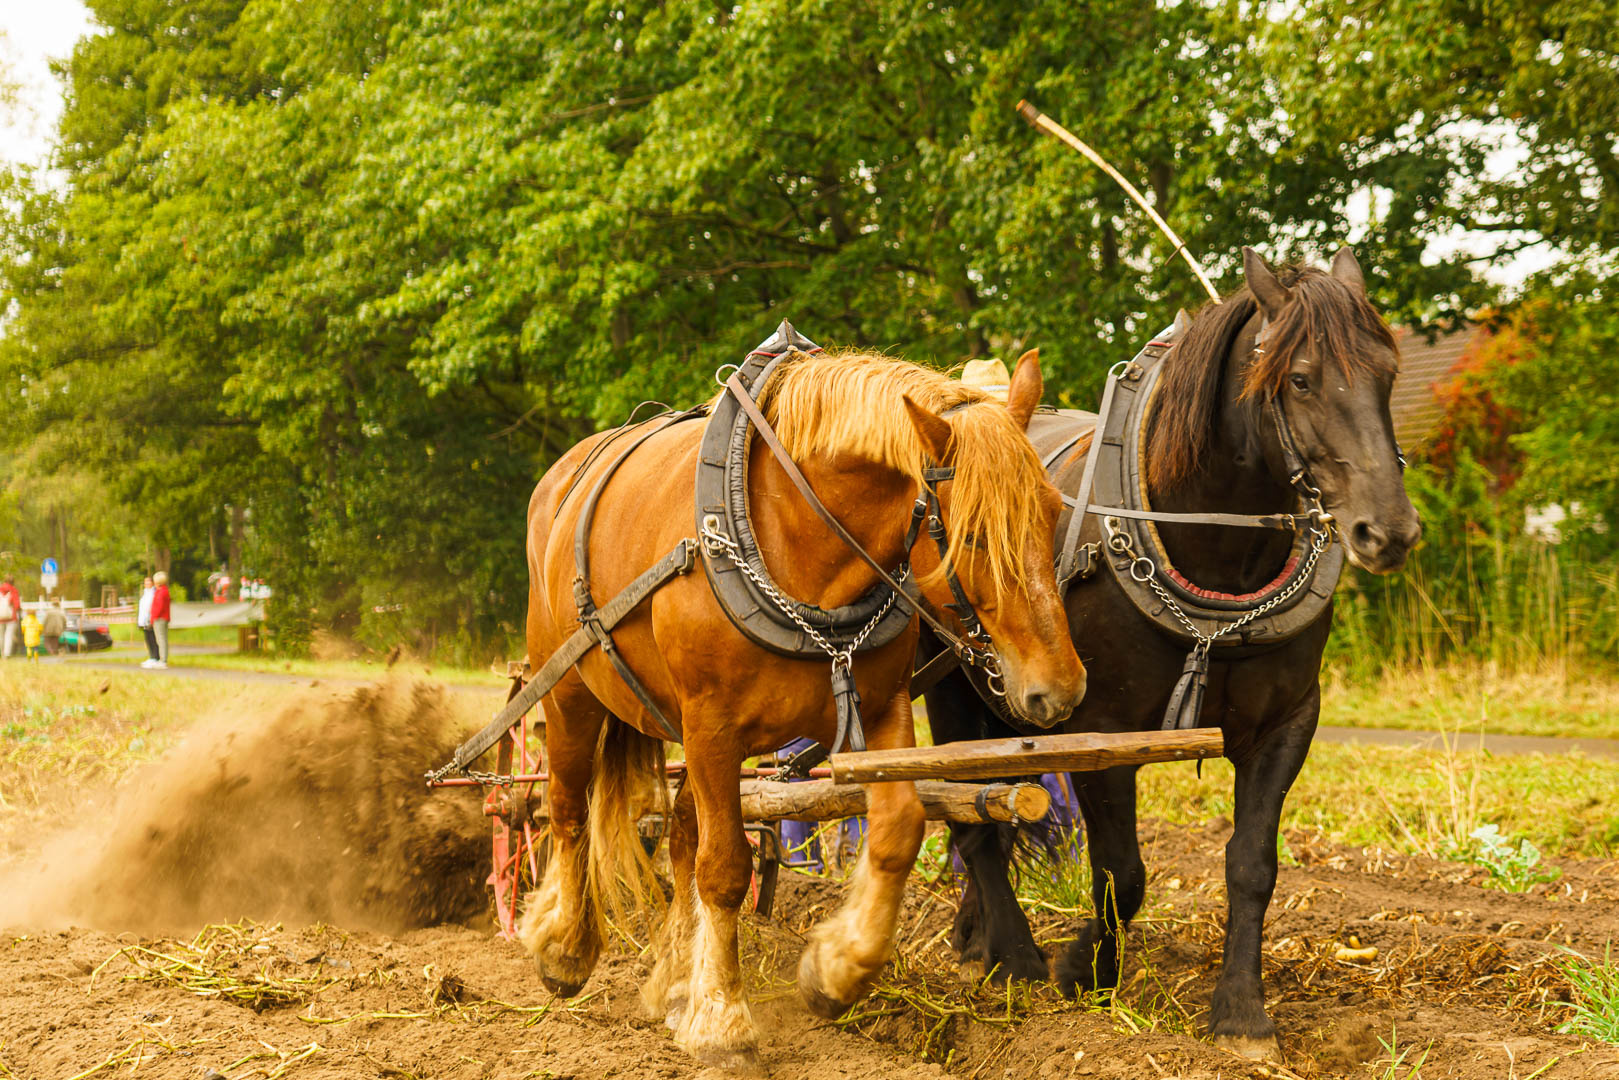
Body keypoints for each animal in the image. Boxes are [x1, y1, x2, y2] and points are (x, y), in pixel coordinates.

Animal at [518, 351, 1087, 1068]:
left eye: (1052, 509)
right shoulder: (711, 725)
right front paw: (724, 1022)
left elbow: (898, 830)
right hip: (569, 690)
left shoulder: (880, 708)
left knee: (678, 835)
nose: (1060, 688)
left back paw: (674, 982)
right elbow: (725, 868)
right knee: (568, 808)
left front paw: (836, 969)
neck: (797, 544)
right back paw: (565, 946)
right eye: (975, 535)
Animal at [926, 247, 1418, 1062]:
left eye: (1386, 371)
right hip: (951, 687)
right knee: (974, 823)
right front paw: (1081, 972)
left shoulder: (1286, 723)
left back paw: (975, 936)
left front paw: (1241, 1013)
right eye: (1300, 378)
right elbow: (1120, 873)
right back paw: (1008, 957)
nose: (1389, 532)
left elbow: (1251, 866)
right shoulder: (1099, 730)